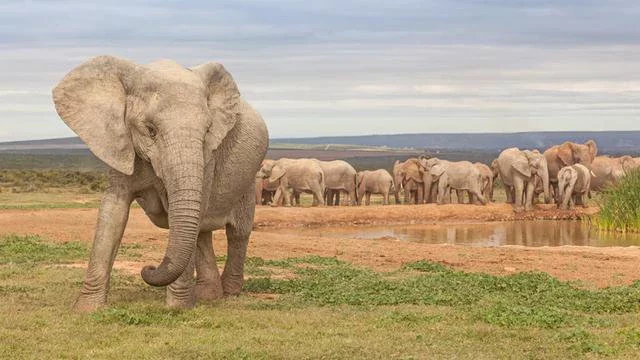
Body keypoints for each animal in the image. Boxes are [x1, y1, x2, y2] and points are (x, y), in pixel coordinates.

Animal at [51, 56, 268, 312]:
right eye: (150, 130)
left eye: (207, 131)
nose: (148, 268)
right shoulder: (121, 144)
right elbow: (113, 212)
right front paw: (86, 310)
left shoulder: (208, 158)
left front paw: (177, 309)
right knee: (202, 232)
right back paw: (208, 295)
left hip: (249, 177)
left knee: (237, 232)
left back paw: (230, 293)